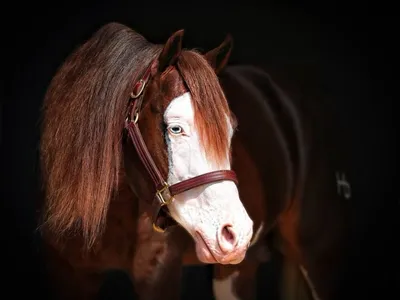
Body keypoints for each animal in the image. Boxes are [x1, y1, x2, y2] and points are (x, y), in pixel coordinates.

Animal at [38, 21, 350, 300]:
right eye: (175, 128)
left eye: (230, 128)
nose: (235, 232)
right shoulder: (68, 274)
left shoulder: (158, 276)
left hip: (317, 257)